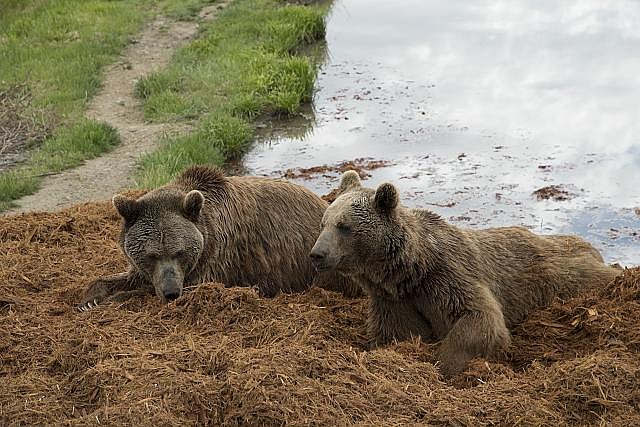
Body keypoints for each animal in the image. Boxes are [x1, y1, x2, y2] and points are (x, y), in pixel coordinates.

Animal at [77, 165, 358, 310]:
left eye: (179, 252)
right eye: (151, 255)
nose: (171, 292)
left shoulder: (218, 259)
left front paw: (110, 300)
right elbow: (125, 277)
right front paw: (89, 299)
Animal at [310, 171, 620, 378]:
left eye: (344, 226)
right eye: (324, 222)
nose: (317, 254)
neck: (408, 271)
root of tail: (593, 249)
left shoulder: (447, 276)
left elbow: (480, 317)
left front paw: (446, 365)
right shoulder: (395, 300)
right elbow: (394, 333)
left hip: (565, 273)